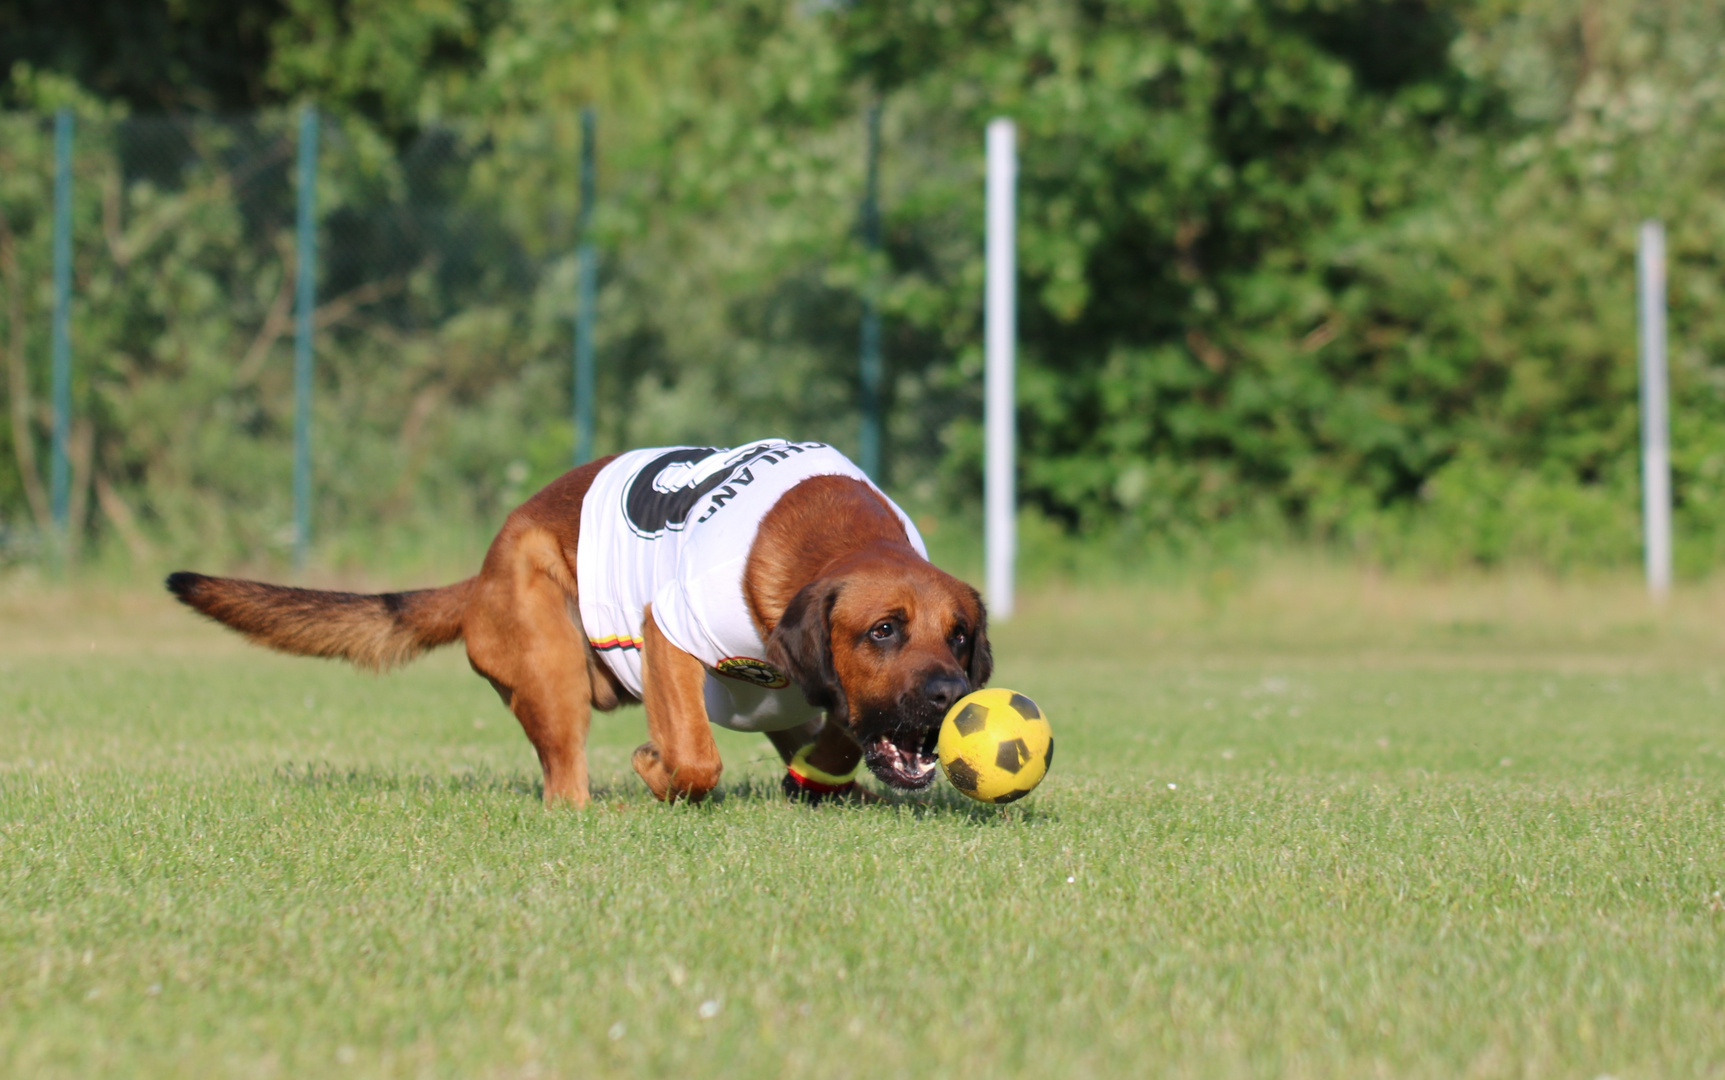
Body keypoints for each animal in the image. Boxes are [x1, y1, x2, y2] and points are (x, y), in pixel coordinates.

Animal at [171, 441, 1000, 803]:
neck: (832, 534)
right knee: (563, 779)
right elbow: (694, 759)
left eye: (959, 635)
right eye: (883, 630)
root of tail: (480, 577)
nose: (948, 696)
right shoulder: (673, 630)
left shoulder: (821, 697)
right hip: (553, 667)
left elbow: (841, 733)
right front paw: (655, 772)